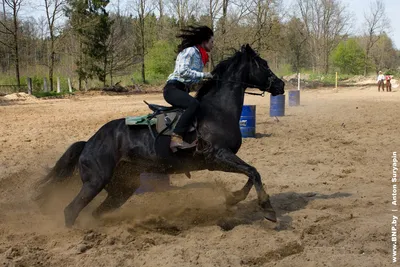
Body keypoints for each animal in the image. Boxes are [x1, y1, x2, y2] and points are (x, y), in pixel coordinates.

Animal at [35, 44, 284, 228]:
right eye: (263, 64)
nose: (281, 84)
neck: (218, 111)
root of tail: (88, 143)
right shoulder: (218, 156)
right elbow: (253, 171)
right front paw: (268, 209)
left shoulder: (219, 160)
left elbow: (251, 173)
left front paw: (235, 198)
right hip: (95, 181)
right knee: (71, 210)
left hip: (122, 188)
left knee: (97, 212)